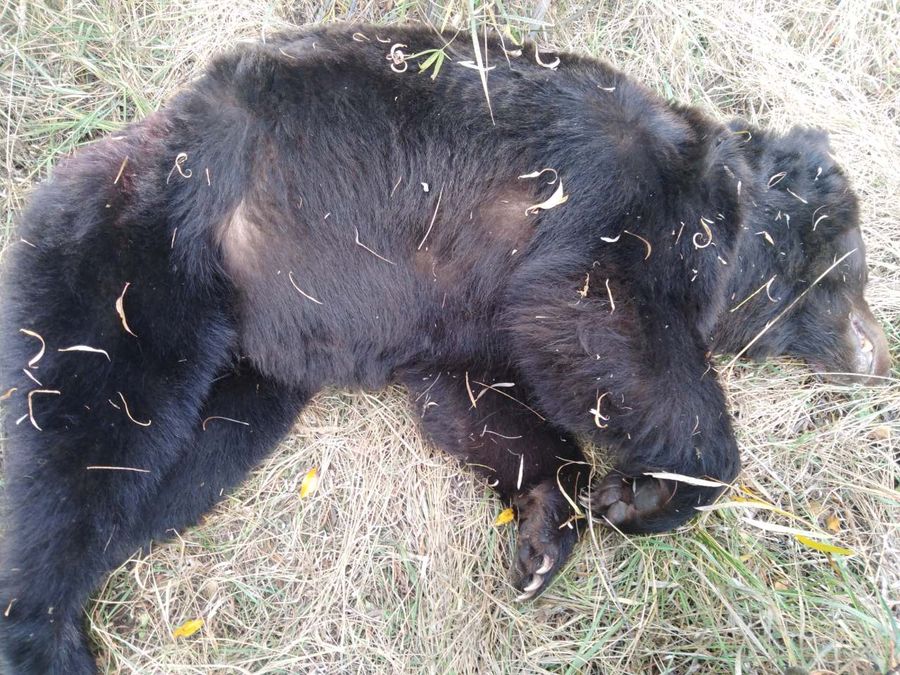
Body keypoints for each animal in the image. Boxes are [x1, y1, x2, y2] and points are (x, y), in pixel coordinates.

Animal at [0, 23, 890, 674]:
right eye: (852, 271)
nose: (877, 357)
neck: (721, 212)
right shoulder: (611, 203)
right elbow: (596, 313)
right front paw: (649, 491)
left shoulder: (464, 323)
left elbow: (483, 396)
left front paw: (546, 529)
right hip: (144, 254)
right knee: (76, 438)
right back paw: (42, 634)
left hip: (244, 369)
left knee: (168, 476)